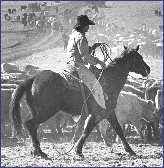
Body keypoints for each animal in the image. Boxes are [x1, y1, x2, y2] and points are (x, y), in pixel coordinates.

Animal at [9, 45, 150, 159]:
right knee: (31, 124)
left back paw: (36, 151)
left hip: (37, 111)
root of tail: (33, 78)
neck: (109, 80)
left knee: (34, 127)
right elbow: (94, 131)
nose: (148, 69)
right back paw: (39, 152)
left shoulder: (104, 113)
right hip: (46, 111)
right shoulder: (101, 113)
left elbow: (106, 129)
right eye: (139, 58)